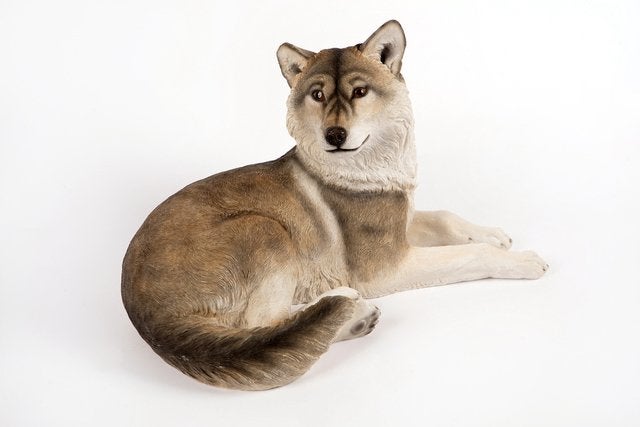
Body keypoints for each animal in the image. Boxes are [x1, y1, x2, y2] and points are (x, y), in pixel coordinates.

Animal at [121, 20, 548, 391]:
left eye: (360, 92)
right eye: (318, 95)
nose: (335, 134)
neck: (369, 169)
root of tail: (144, 311)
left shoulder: (403, 220)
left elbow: (446, 218)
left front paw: (493, 235)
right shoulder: (387, 267)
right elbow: (470, 255)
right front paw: (524, 261)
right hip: (264, 228)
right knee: (263, 324)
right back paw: (349, 314)